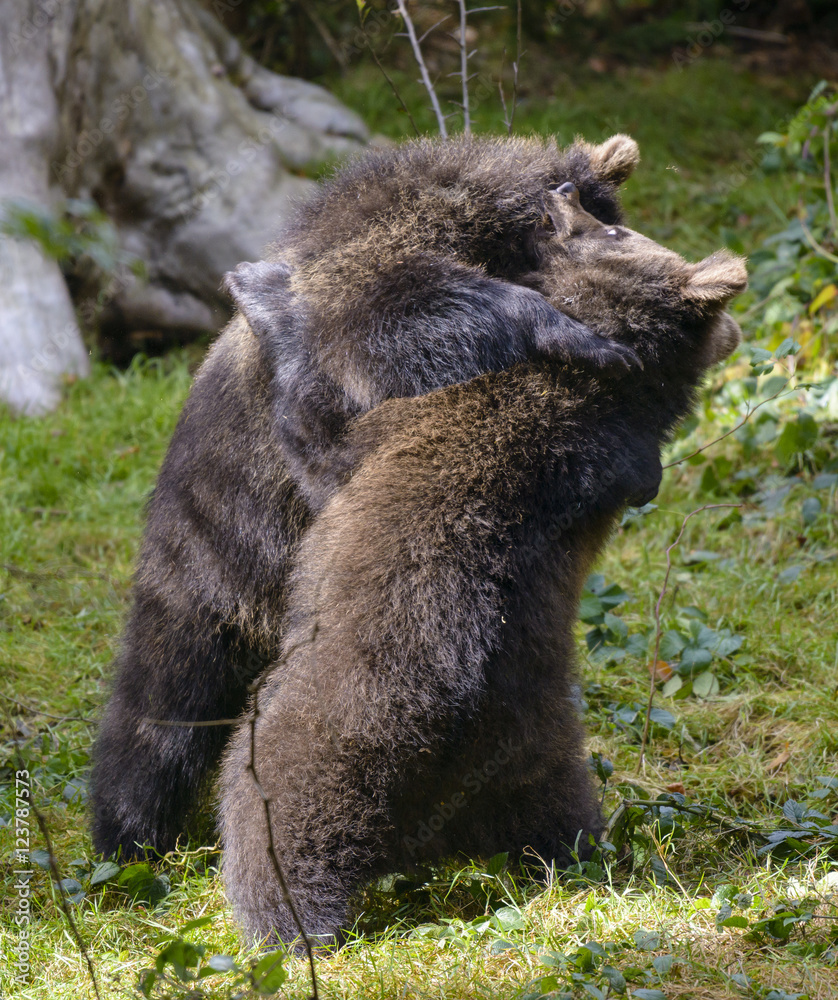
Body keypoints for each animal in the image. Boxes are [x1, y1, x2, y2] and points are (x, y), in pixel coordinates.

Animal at [90, 133, 643, 860]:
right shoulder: (363, 289)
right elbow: (409, 314)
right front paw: (574, 334)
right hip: (214, 544)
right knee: (163, 701)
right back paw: (126, 827)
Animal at [217, 180, 747, 947]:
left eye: (617, 232)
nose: (563, 191)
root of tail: (435, 822)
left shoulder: (414, 423)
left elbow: (317, 432)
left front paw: (267, 295)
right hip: (541, 754)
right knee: (562, 817)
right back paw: (585, 856)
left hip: (318, 739)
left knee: (273, 824)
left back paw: (280, 922)